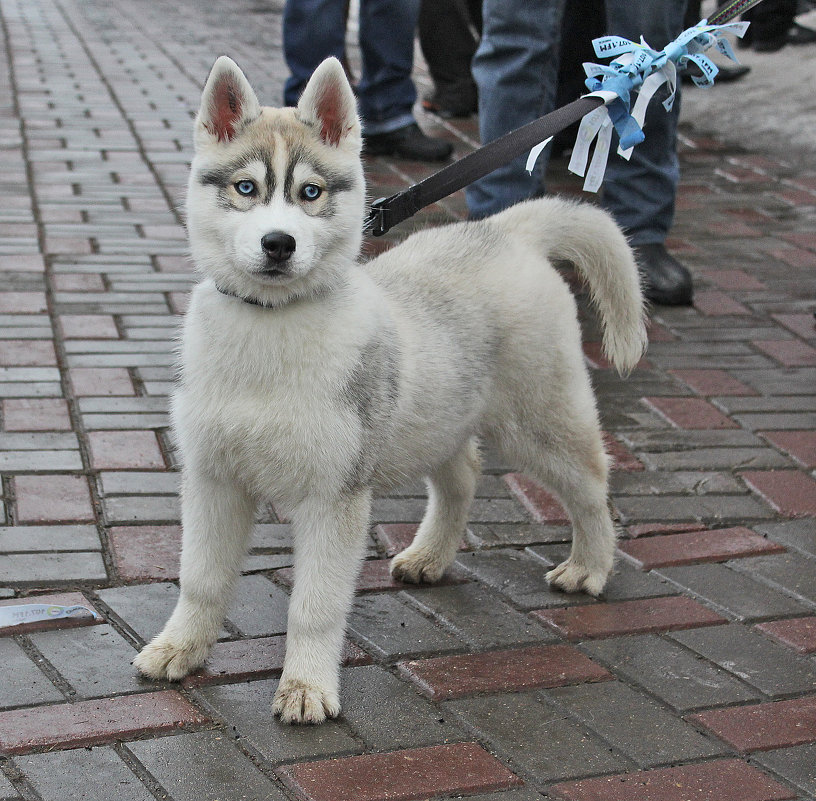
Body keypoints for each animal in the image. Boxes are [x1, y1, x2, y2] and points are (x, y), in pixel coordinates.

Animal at [132, 53, 644, 720]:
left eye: (311, 193)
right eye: (246, 189)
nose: (279, 244)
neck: (271, 330)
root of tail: (504, 232)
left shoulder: (335, 496)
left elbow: (315, 605)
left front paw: (308, 687)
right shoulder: (212, 480)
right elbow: (200, 579)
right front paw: (180, 648)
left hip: (538, 422)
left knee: (591, 486)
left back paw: (590, 565)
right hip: (441, 412)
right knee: (463, 477)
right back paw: (431, 556)